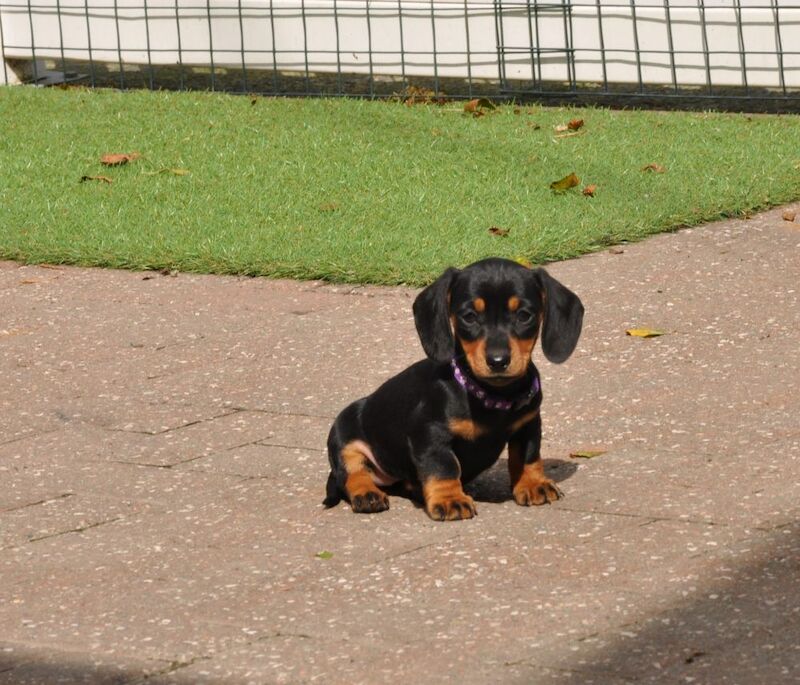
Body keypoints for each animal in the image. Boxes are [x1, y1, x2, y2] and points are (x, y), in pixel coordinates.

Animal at [322, 256, 584, 520]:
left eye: (524, 315)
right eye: (469, 316)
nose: (498, 361)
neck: (490, 396)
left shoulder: (528, 423)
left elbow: (528, 456)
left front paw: (533, 483)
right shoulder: (430, 434)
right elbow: (444, 466)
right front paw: (450, 499)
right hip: (343, 434)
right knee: (351, 473)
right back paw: (367, 493)